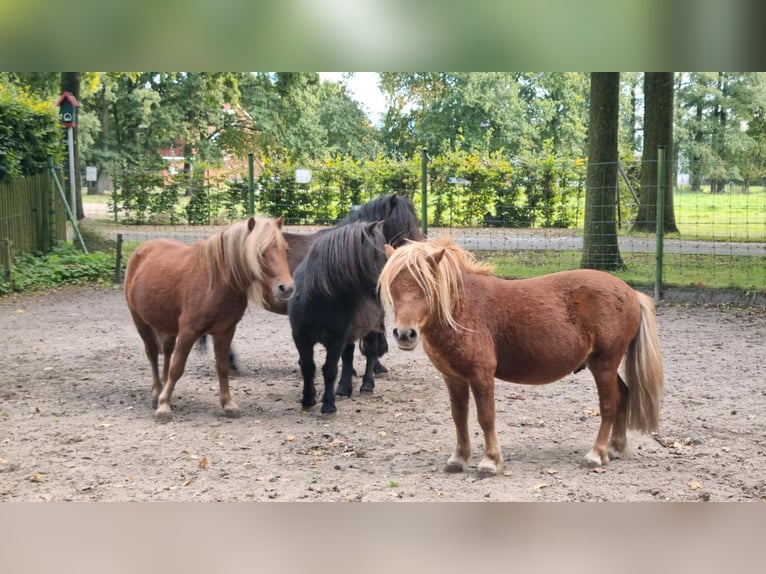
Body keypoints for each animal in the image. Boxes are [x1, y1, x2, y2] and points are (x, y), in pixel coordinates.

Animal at [126, 216, 294, 418]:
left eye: (285, 249)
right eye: (260, 252)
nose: (286, 288)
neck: (217, 282)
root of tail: (142, 249)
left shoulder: (225, 331)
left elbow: (222, 367)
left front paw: (228, 404)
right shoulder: (188, 332)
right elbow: (177, 368)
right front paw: (164, 405)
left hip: (168, 324)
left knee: (166, 351)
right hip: (139, 319)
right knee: (152, 352)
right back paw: (157, 393)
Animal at [292, 219, 392, 414]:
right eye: (377, 255)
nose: (386, 284)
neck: (319, 299)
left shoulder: (336, 339)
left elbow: (330, 370)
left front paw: (328, 405)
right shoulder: (301, 338)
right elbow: (308, 367)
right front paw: (308, 399)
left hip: (372, 327)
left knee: (371, 353)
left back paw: (367, 385)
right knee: (348, 355)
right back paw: (344, 388)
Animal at [380, 236, 664, 480]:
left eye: (427, 289)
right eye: (392, 288)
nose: (405, 334)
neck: (462, 309)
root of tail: (630, 292)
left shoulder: (481, 375)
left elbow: (486, 416)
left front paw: (490, 462)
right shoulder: (453, 378)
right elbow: (459, 416)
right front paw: (459, 459)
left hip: (604, 364)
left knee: (608, 405)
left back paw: (597, 454)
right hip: (605, 366)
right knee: (624, 396)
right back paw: (616, 448)